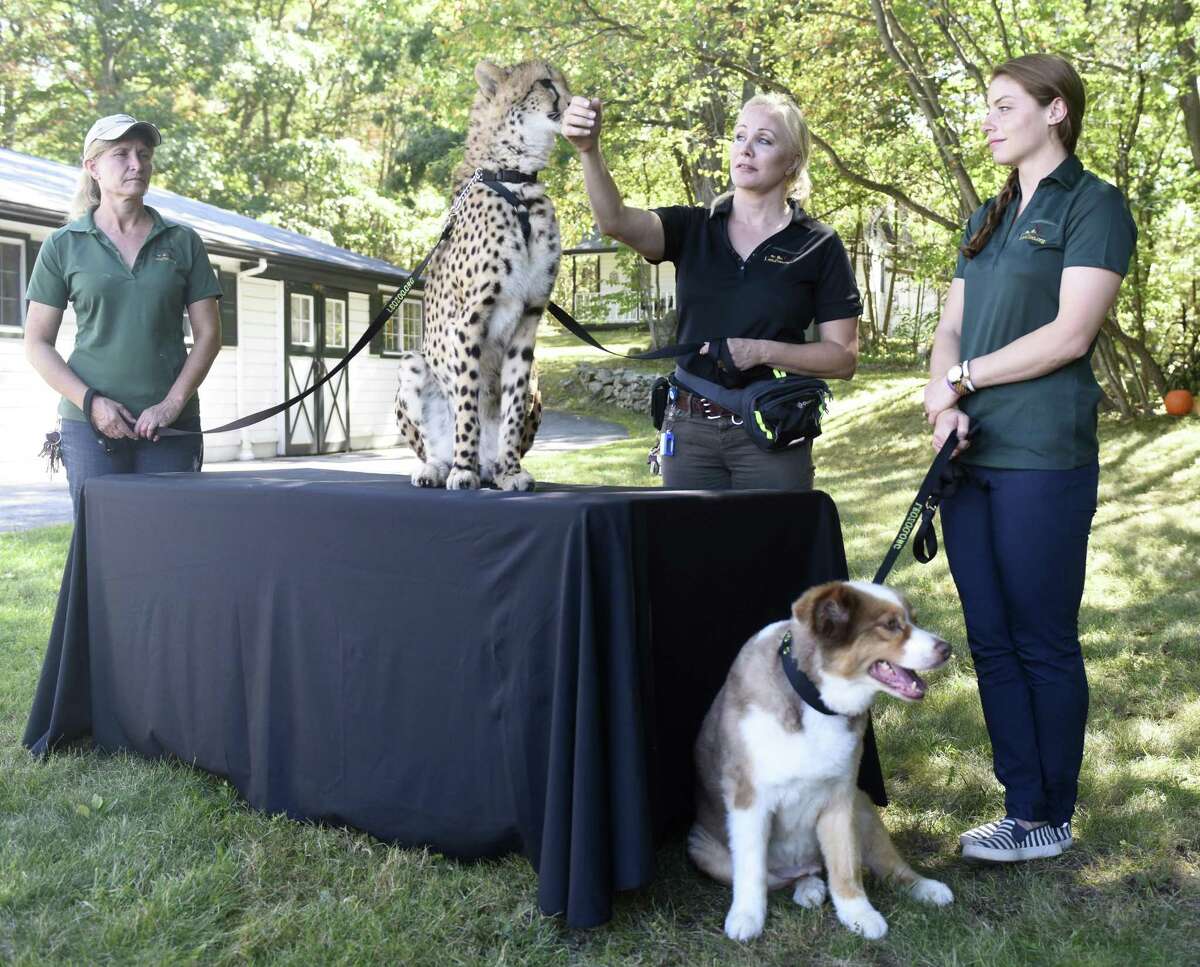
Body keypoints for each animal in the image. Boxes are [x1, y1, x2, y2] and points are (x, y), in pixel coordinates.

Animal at [396, 60, 568, 491]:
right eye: (546, 82)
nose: (575, 98)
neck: (517, 184)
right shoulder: (469, 319)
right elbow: (467, 404)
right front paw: (463, 469)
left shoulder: (529, 316)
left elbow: (510, 407)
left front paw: (510, 470)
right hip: (410, 361)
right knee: (431, 445)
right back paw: (439, 467)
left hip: (538, 377)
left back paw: (493, 467)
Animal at [691, 578, 950, 940]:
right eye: (890, 625)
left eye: (913, 619)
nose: (947, 648)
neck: (813, 699)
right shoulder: (748, 800)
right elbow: (751, 869)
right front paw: (746, 917)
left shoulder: (840, 796)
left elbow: (845, 865)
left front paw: (858, 913)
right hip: (704, 851)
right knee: (779, 878)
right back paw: (808, 887)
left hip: (863, 807)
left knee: (887, 865)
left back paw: (925, 888)